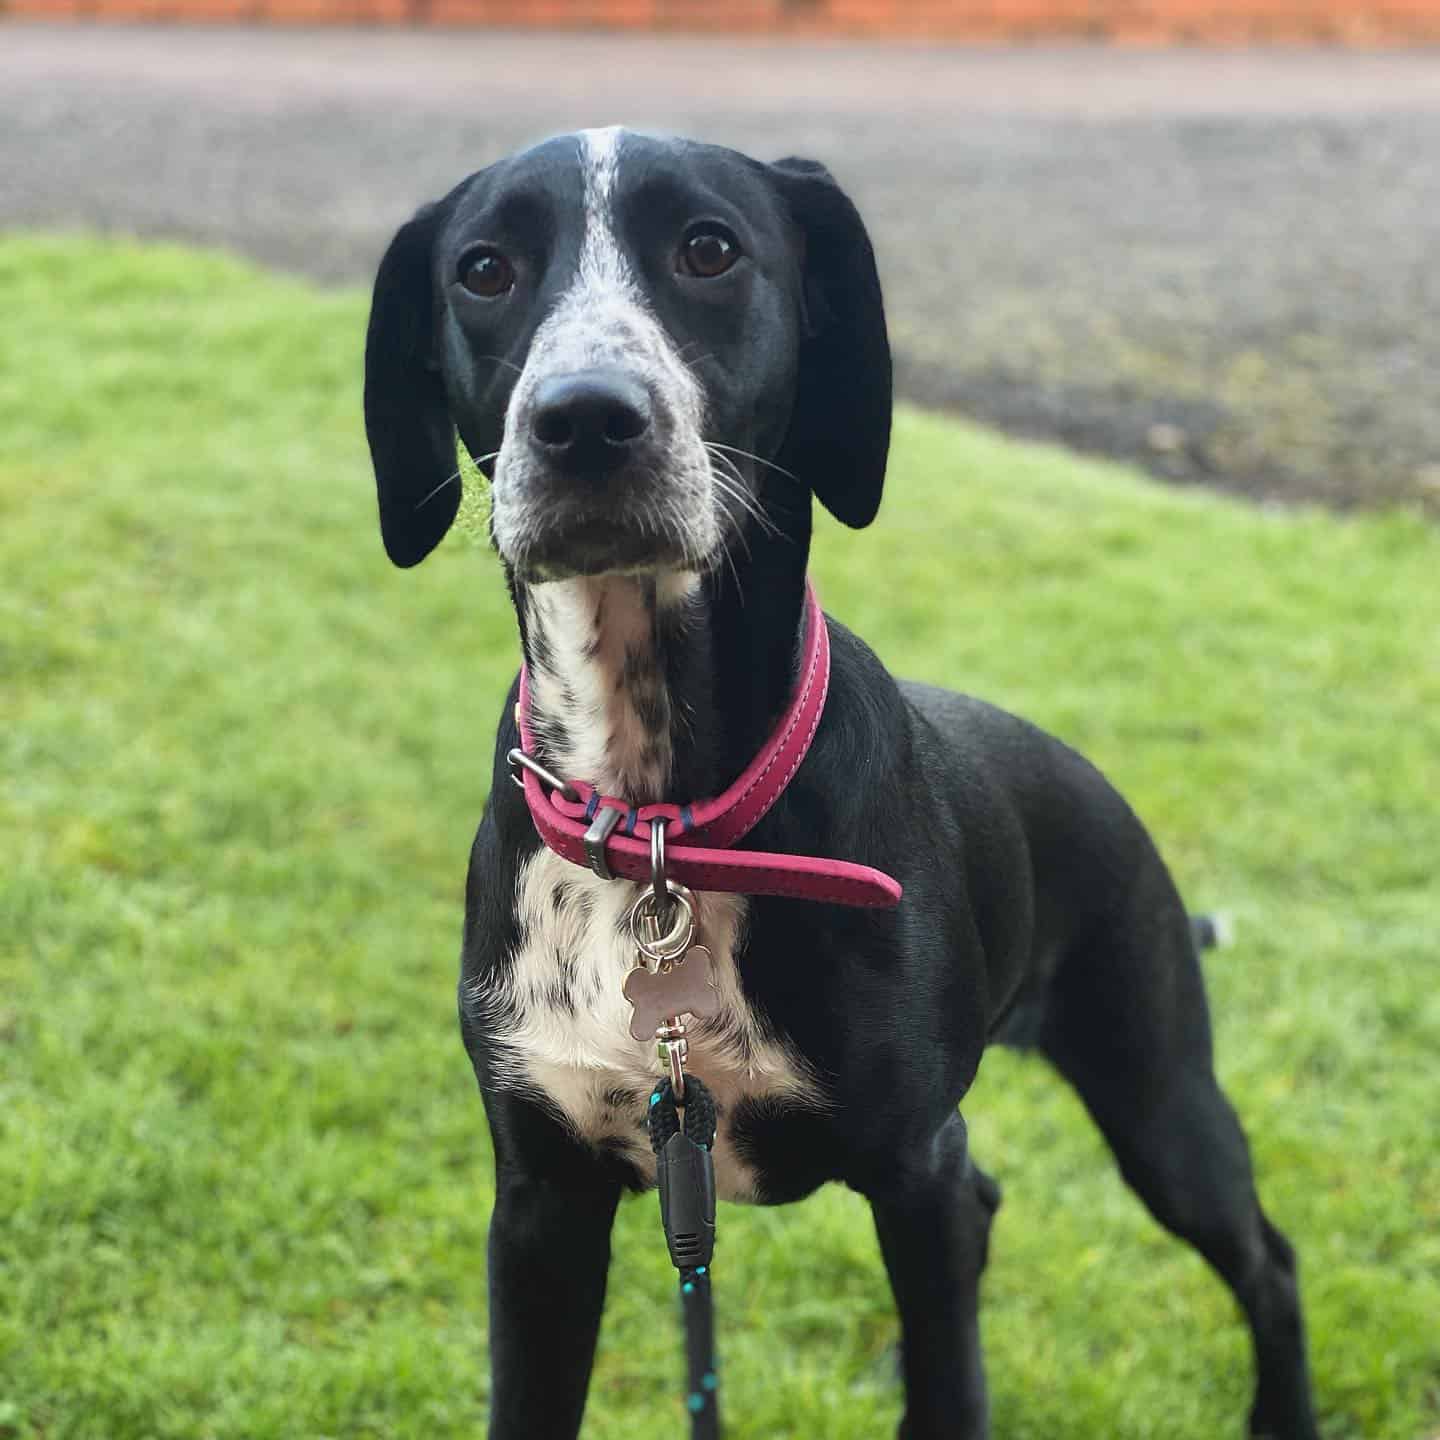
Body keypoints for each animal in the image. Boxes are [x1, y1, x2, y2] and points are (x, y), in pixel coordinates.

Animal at [362, 126, 1319, 1440]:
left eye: (709, 249)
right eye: (484, 269)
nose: (585, 421)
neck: (664, 825)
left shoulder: (915, 1174)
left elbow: (958, 1385)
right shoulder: (544, 1204)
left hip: (1159, 1096)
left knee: (1266, 1258)